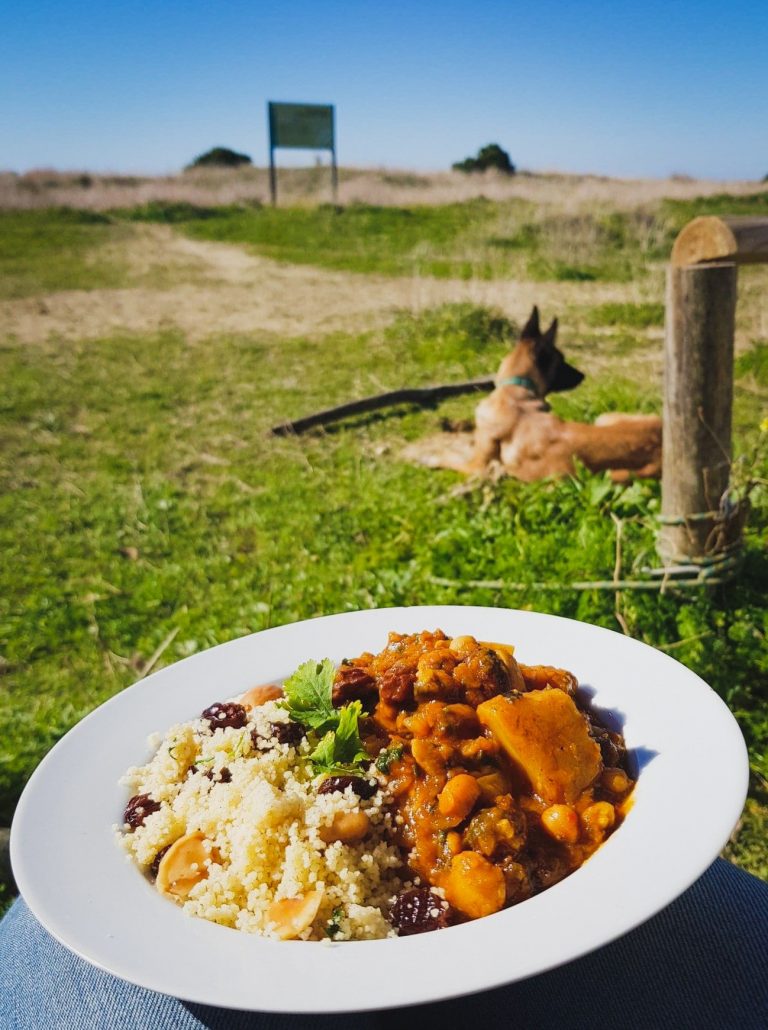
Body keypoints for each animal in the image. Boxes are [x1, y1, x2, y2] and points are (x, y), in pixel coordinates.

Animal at [409, 304, 662, 482]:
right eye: (562, 361)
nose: (582, 376)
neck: (515, 390)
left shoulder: (478, 466)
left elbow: (449, 456)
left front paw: (427, 456)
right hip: (605, 419)